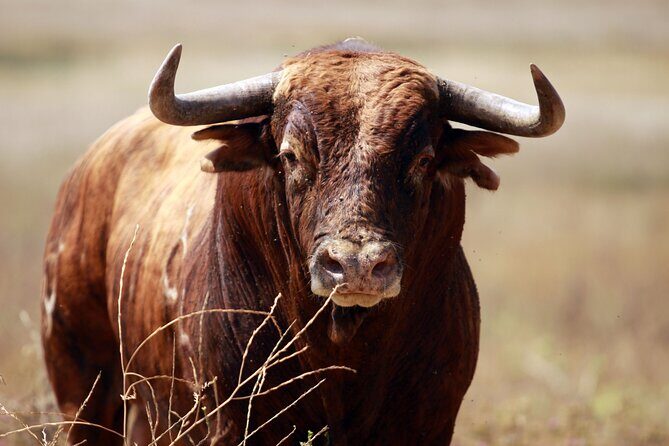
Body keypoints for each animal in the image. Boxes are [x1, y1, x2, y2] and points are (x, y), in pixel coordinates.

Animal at [41, 38, 564, 445]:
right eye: (292, 155)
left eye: (422, 159)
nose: (355, 267)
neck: (344, 356)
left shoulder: (428, 423)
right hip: (83, 385)